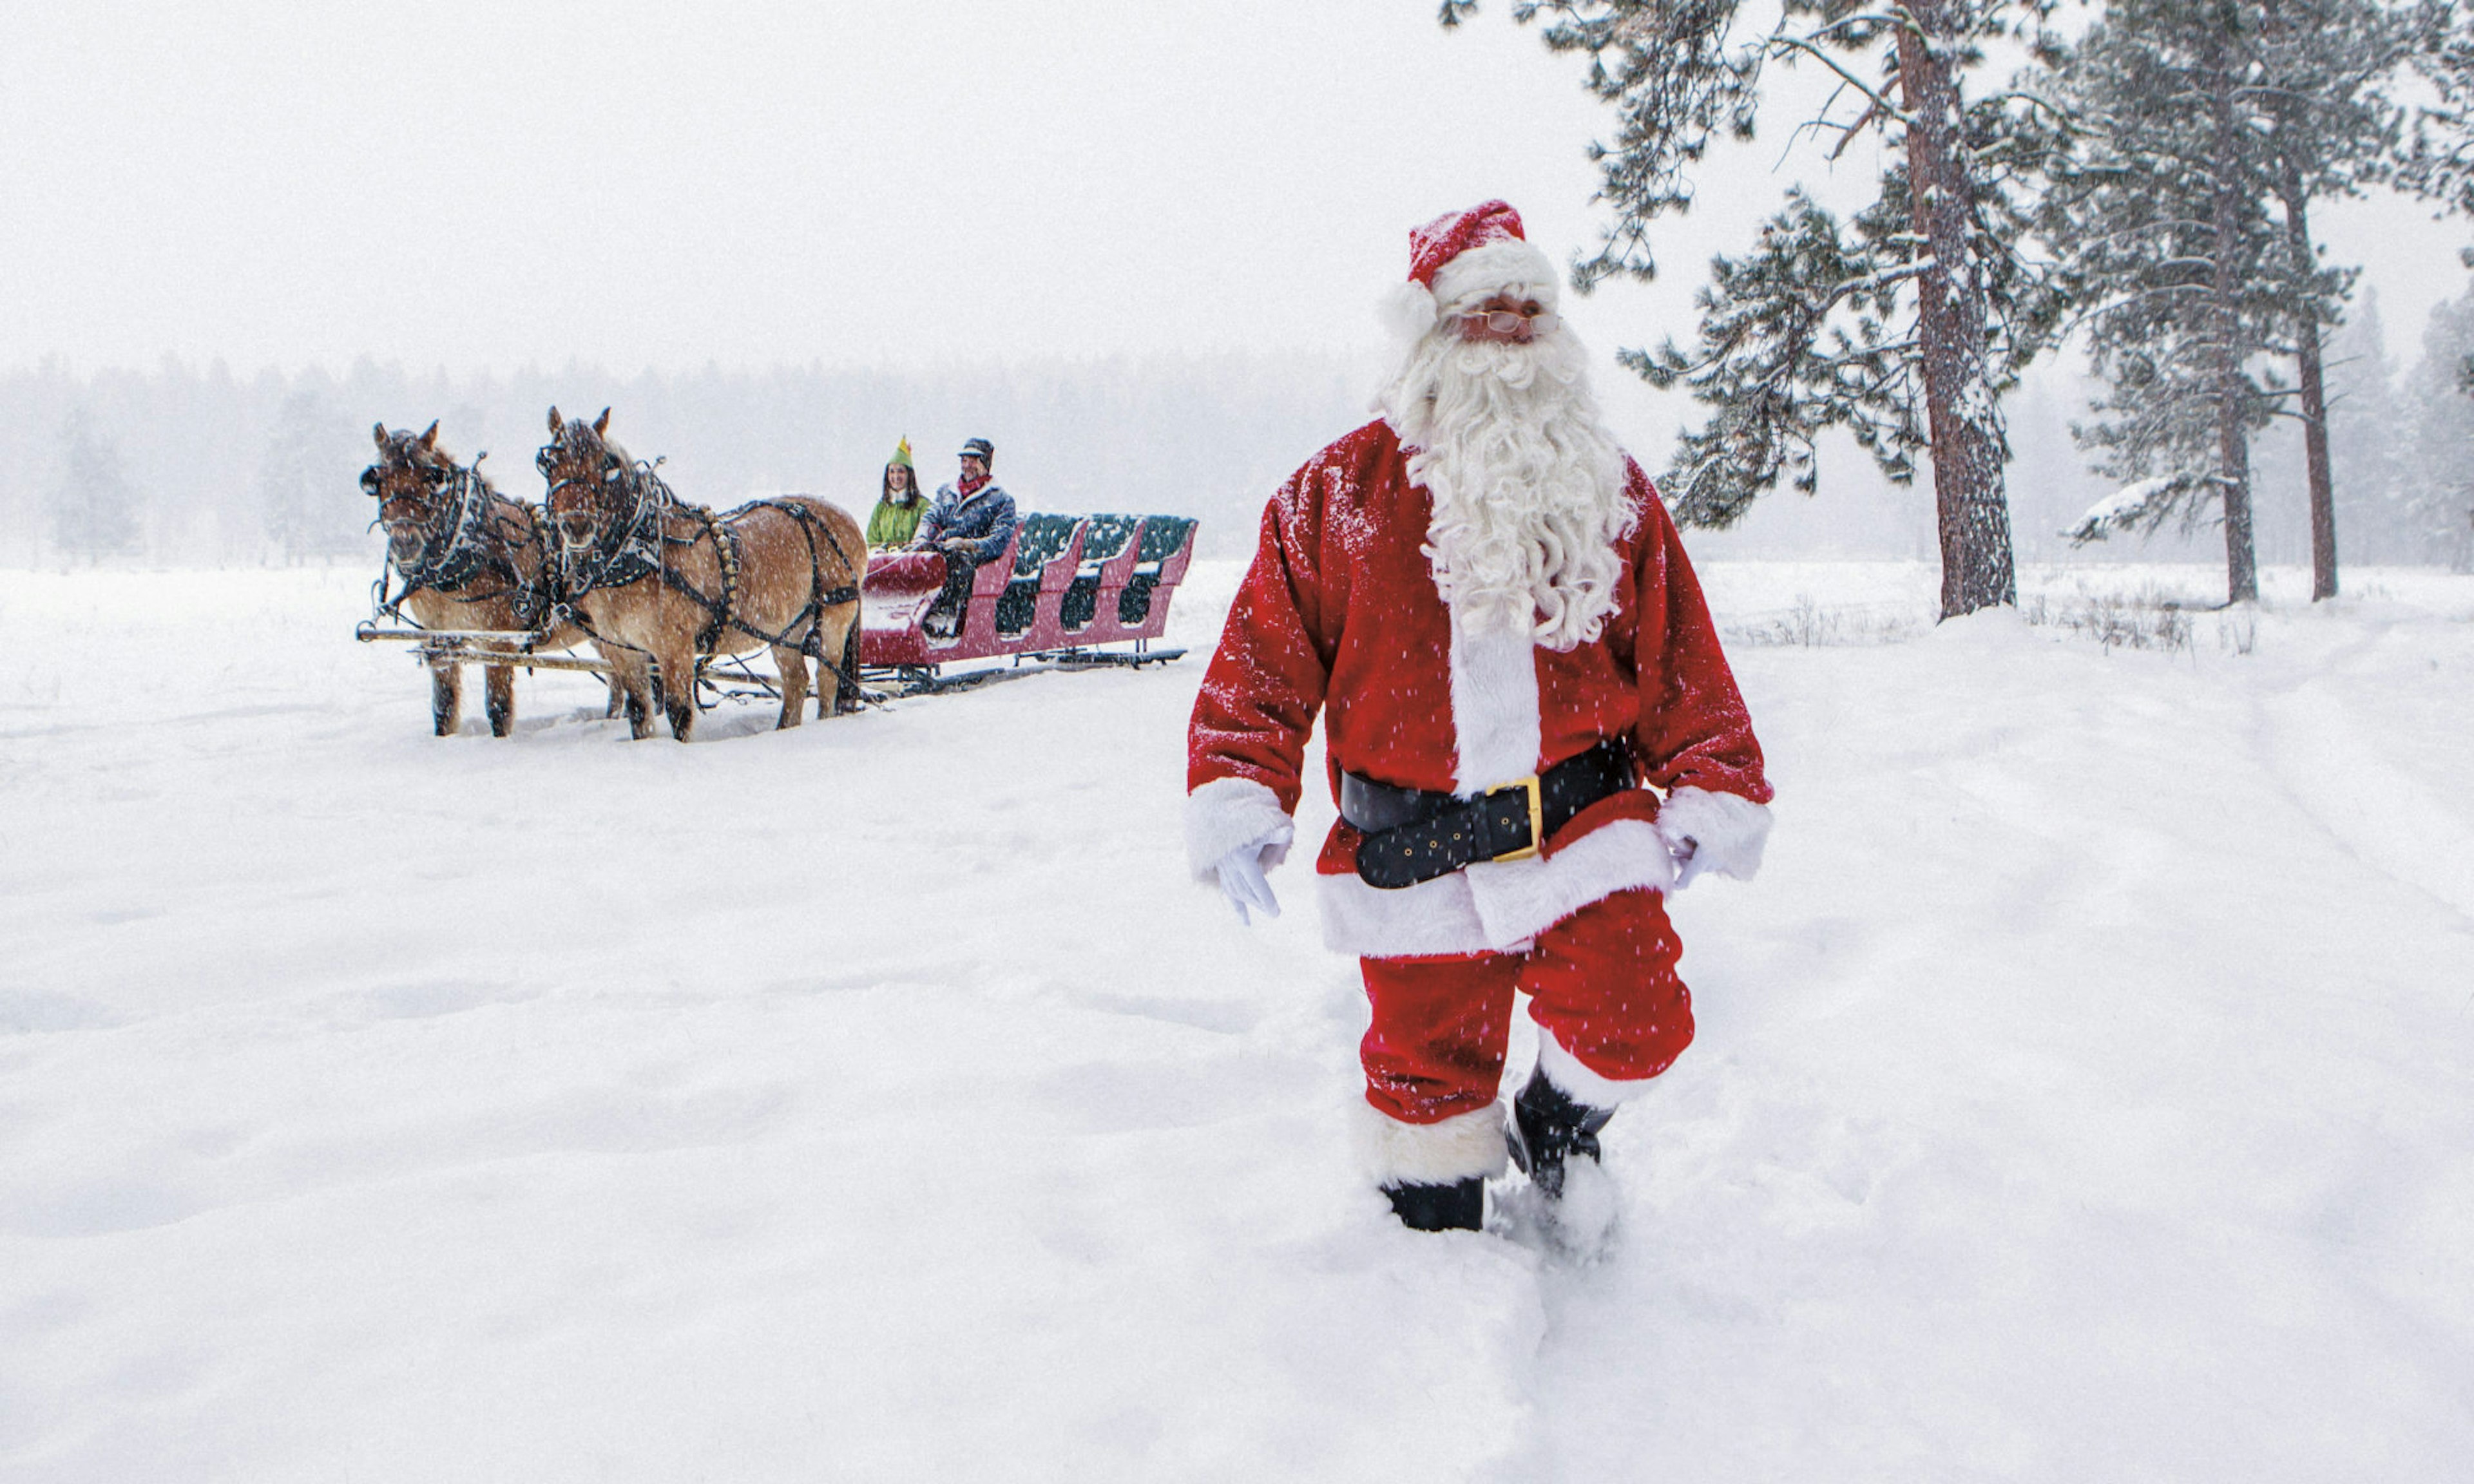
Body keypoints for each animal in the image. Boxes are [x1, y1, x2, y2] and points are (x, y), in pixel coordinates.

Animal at [361, 423, 599, 737]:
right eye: (378, 479)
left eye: (432, 477)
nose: (405, 543)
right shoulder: (440, 637)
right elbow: (444, 708)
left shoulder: (498, 642)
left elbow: (498, 708)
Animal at [537, 405, 866, 742]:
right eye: (549, 464)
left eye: (605, 463)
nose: (577, 525)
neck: (639, 550)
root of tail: (841, 515)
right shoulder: (623, 652)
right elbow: (640, 714)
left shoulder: (674, 648)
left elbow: (679, 713)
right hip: (785, 628)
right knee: (796, 679)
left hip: (835, 615)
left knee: (826, 677)